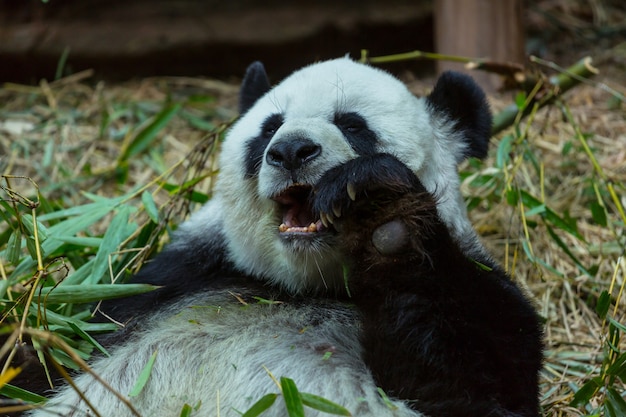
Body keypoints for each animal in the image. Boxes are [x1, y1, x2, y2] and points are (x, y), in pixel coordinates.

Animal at [25, 57, 540, 416]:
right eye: (268, 128)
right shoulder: (169, 282)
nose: (291, 150)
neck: (302, 284)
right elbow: (47, 356)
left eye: (352, 124)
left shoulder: (478, 292)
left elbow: (482, 379)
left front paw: (384, 216)